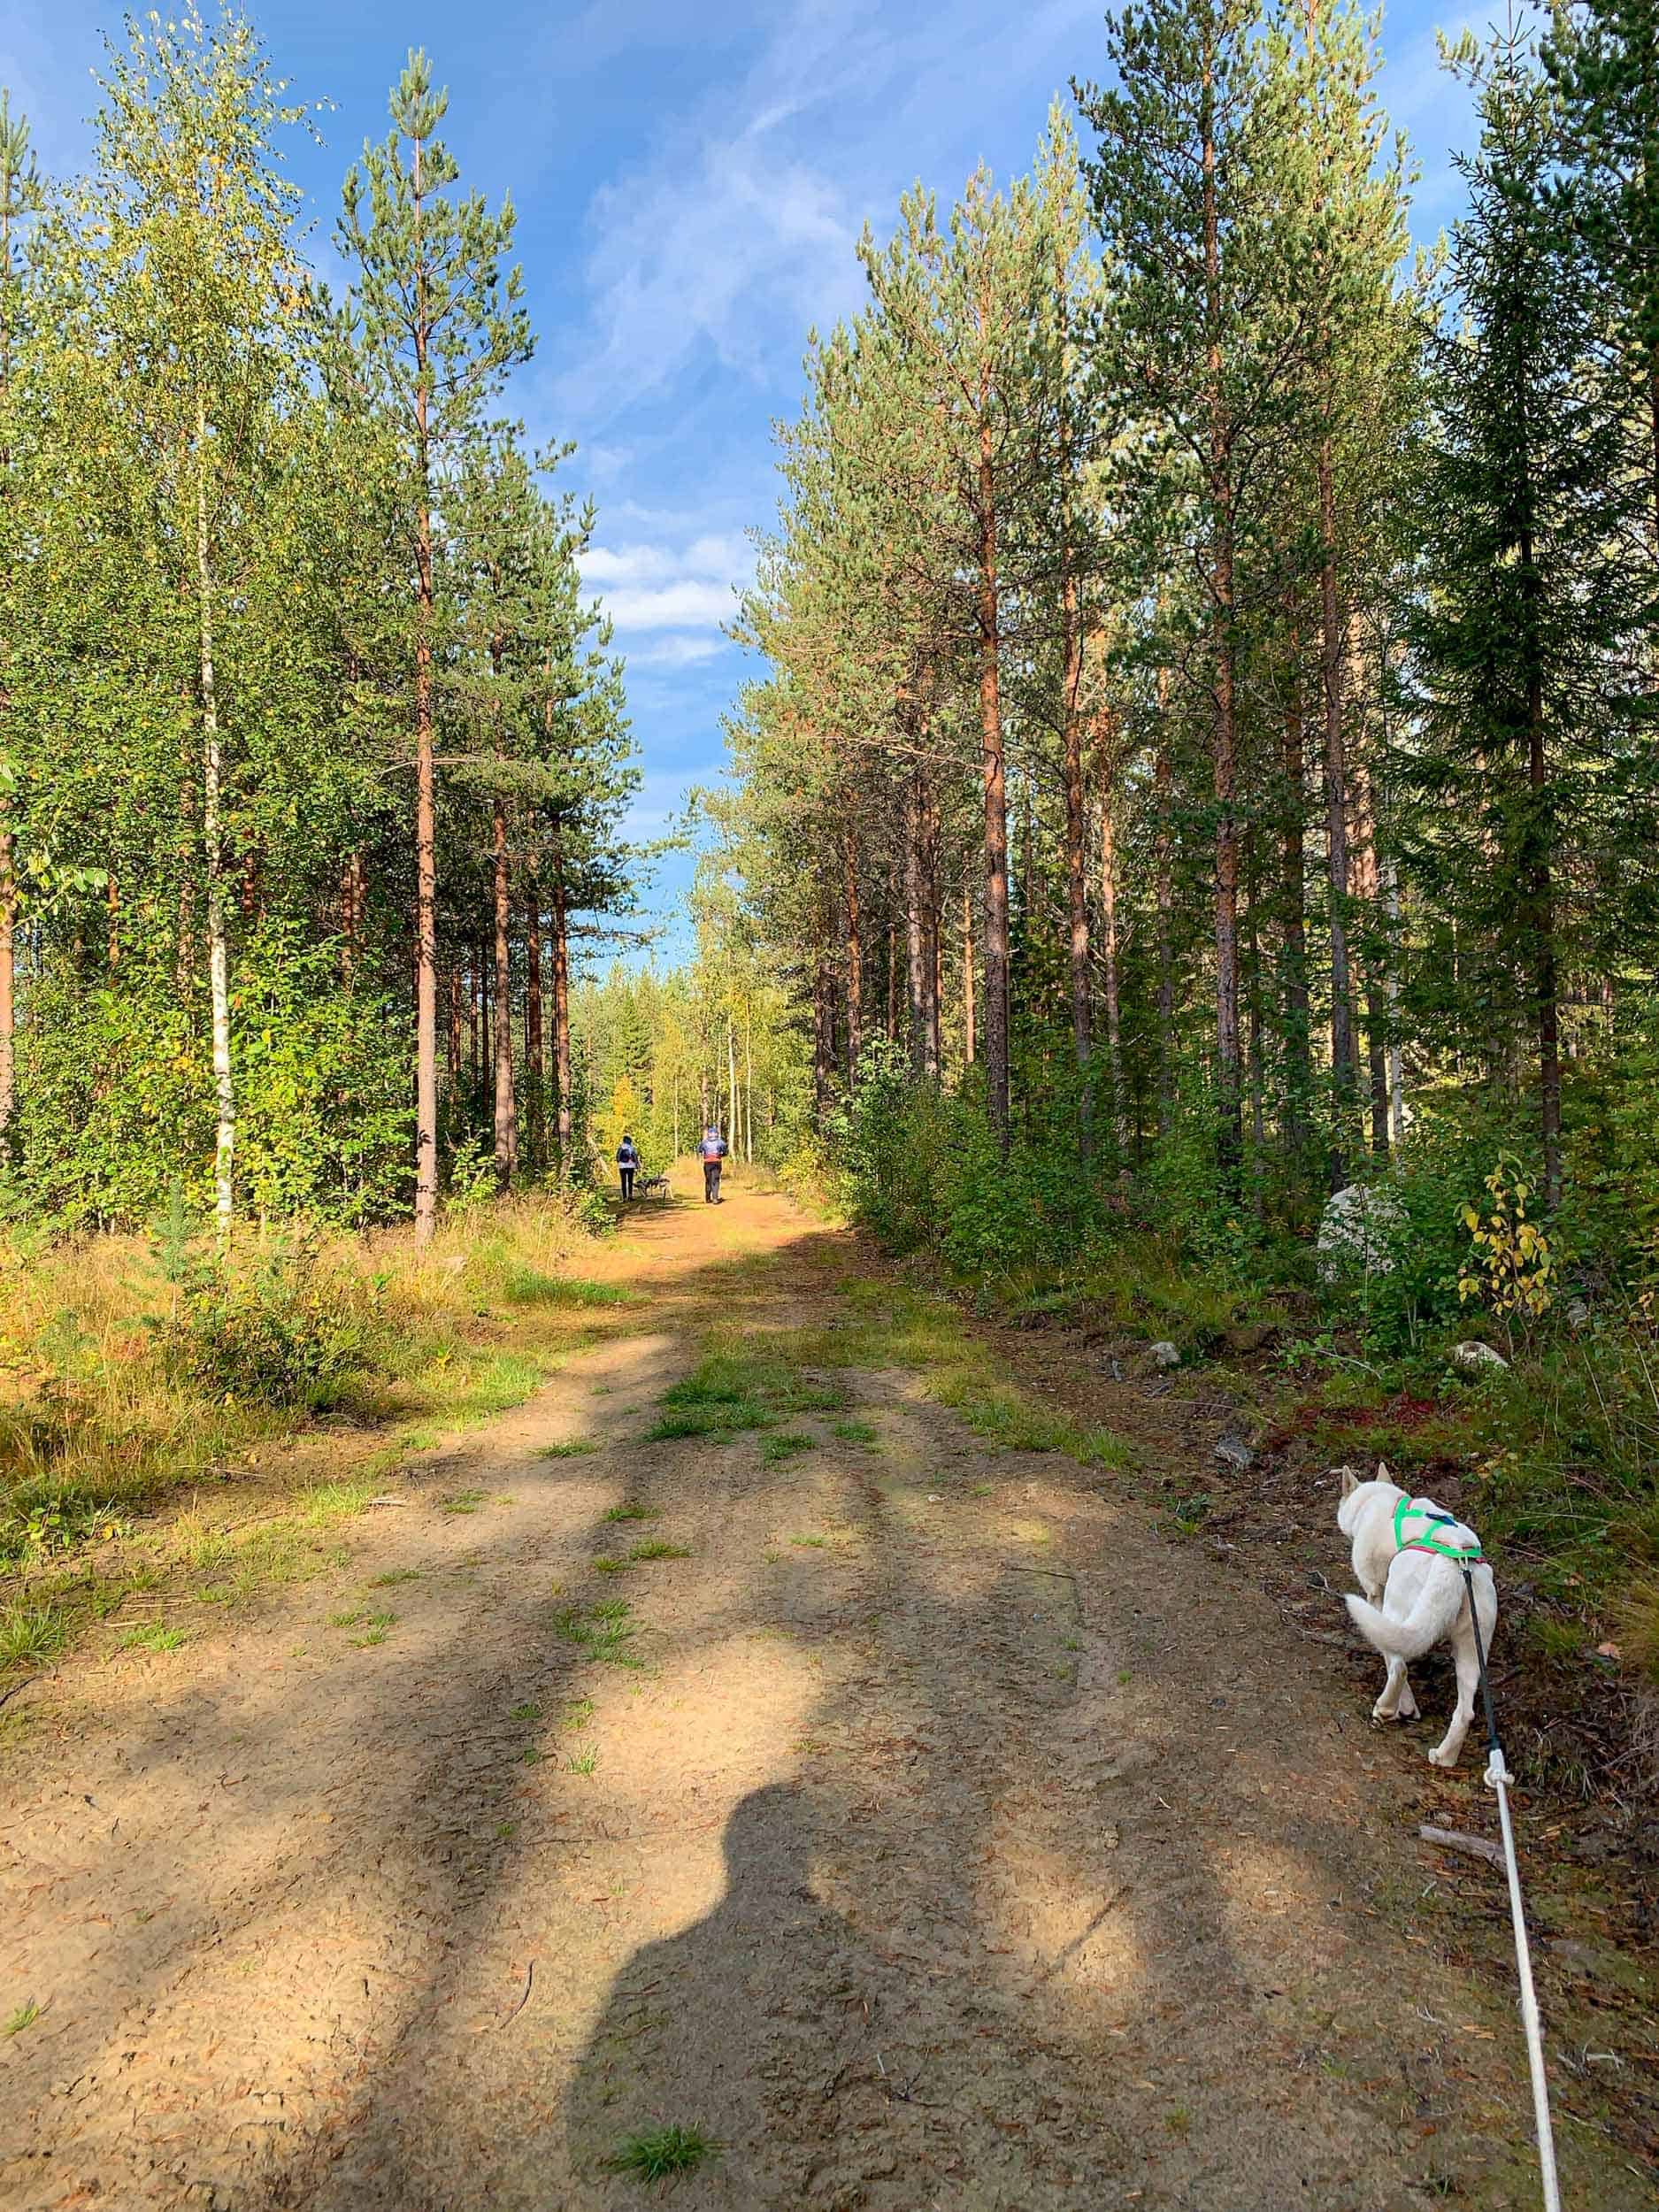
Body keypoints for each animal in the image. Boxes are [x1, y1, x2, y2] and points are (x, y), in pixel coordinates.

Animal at [1345, 1460, 1504, 1770]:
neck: (1381, 1500)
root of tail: (1454, 1566)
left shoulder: (1375, 1594)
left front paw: (1403, 1706)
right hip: (1472, 1647)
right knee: (1465, 1711)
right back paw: (1445, 1756)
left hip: (1398, 1607)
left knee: (1399, 1666)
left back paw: (1385, 1707)